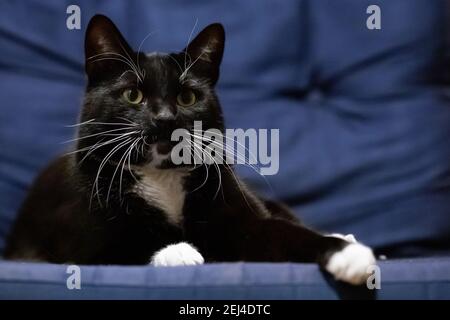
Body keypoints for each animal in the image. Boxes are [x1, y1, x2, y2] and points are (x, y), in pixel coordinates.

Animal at [4, 15, 376, 284]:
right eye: (132, 95)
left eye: (187, 97)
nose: (165, 118)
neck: (161, 176)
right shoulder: (84, 242)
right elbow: (126, 248)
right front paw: (180, 252)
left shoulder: (246, 218)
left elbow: (284, 231)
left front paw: (349, 254)